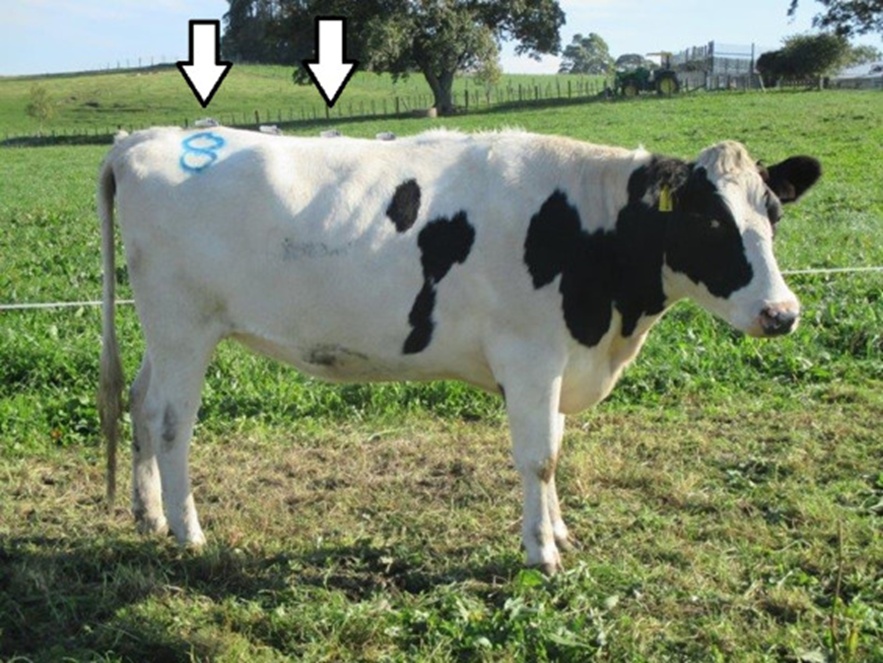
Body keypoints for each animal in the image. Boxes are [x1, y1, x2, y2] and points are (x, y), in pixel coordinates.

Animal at [98, 127, 820, 574]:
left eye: (773, 215)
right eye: (709, 221)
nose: (782, 313)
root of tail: (144, 139)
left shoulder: (556, 363)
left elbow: (554, 451)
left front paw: (558, 530)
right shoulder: (530, 358)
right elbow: (539, 458)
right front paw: (541, 554)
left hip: (163, 333)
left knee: (141, 403)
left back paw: (148, 515)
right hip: (184, 327)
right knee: (173, 424)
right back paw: (189, 532)